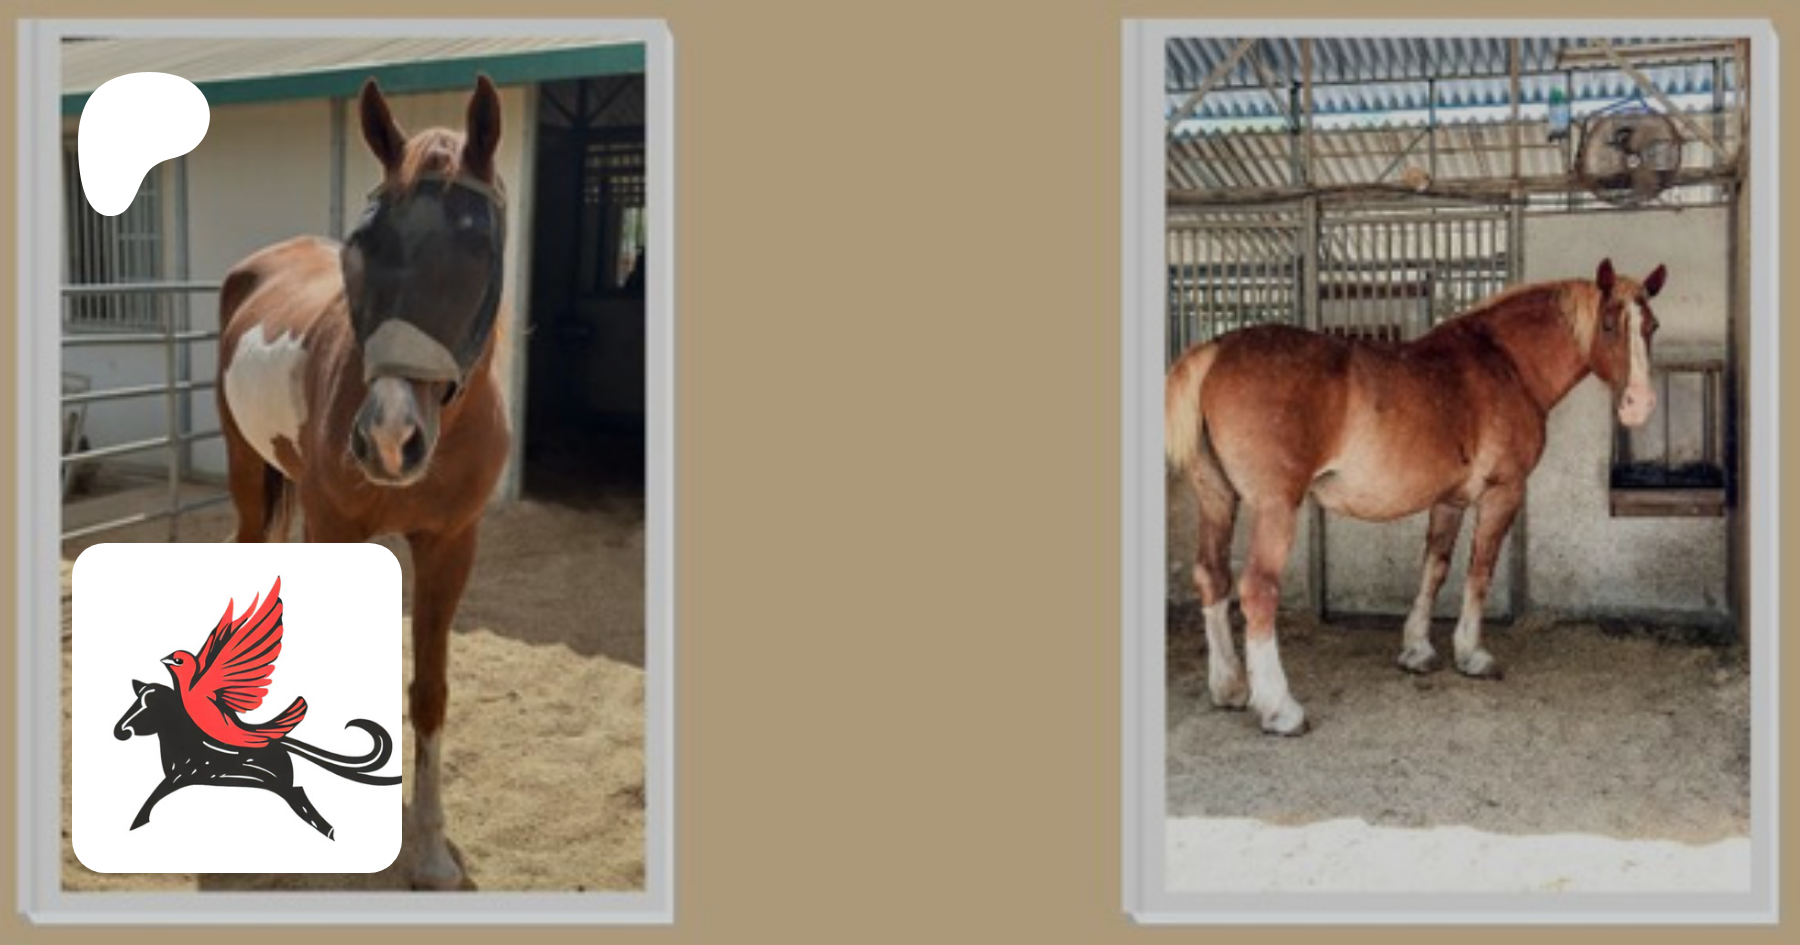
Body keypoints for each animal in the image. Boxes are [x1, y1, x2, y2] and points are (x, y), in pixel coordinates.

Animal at [113, 679, 400, 838]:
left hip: (277, 784)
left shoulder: (185, 775)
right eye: (136, 702)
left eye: (150, 706)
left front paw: (138, 823)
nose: (120, 731)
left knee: (301, 798)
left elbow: (152, 797)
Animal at [214, 76, 511, 886]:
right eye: (363, 244)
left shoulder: (452, 545)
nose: (386, 437)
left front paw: (430, 850)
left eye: (481, 244)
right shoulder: (338, 525)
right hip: (250, 473)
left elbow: (430, 689)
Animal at [1166, 258, 1667, 735]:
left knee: (1212, 577)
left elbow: (1435, 568)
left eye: (1652, 326)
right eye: (1608, 323)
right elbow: (1479, 571)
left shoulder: (1449, 499)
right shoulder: (1503, 492)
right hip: (1275, 507)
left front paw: (1417, 649)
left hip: (1217, 499)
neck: (1507, 362)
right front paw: (1472, 654)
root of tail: (1215, 350)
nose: (1640, 405)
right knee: (1257, 590)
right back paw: (1279, 709)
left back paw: (1228, 687)